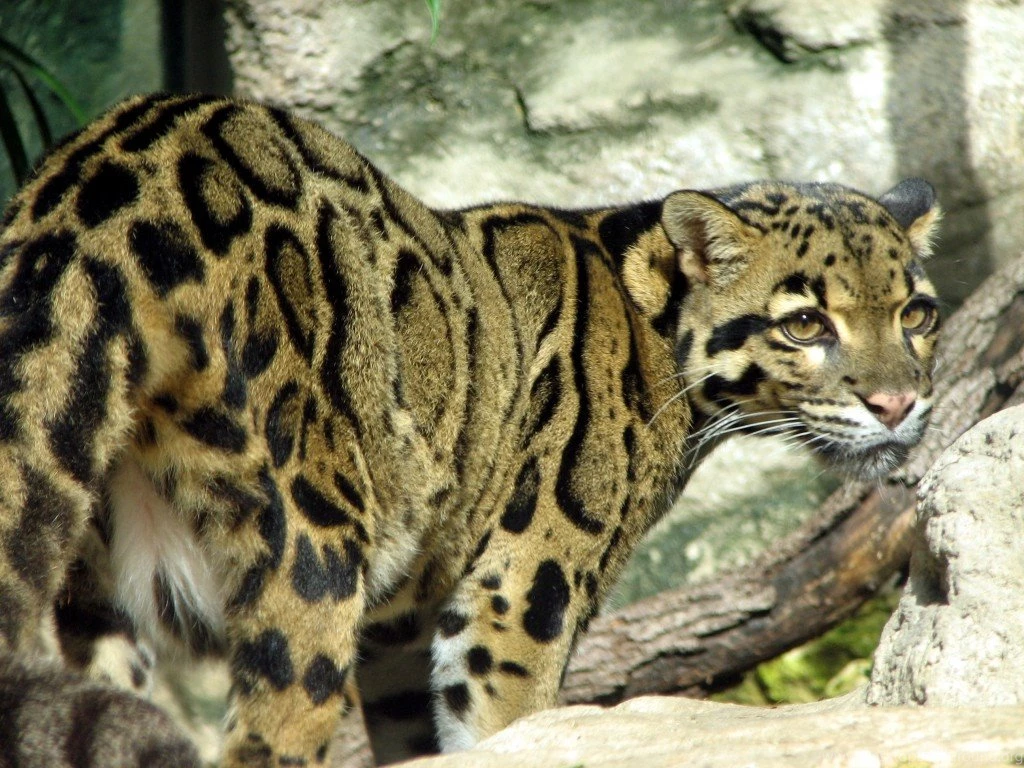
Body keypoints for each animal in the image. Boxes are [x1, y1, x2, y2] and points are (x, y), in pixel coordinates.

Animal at [0, 93, 941, 767]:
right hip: (304, 551)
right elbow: (508, 731)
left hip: (88, 597)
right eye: (805, 324)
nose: (899, 404)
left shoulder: (399, 629)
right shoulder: (523, 593)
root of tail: (95, 194)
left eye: (917, 314)